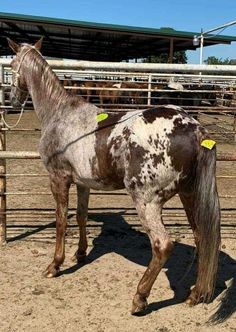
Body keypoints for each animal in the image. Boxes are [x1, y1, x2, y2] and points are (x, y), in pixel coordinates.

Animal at [7, 37, 221, 316]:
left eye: (11, 64)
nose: (12, 100)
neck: (60, 114)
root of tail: (194, 128)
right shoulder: (83, 183)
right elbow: (81, 216)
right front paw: (81, 254)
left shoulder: (58, 179)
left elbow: (61, 222)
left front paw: (55, 265)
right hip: (190, 195)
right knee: (202, 238)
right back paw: (195, 294)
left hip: (147, 201)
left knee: (162, 244)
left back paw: (139, 299)